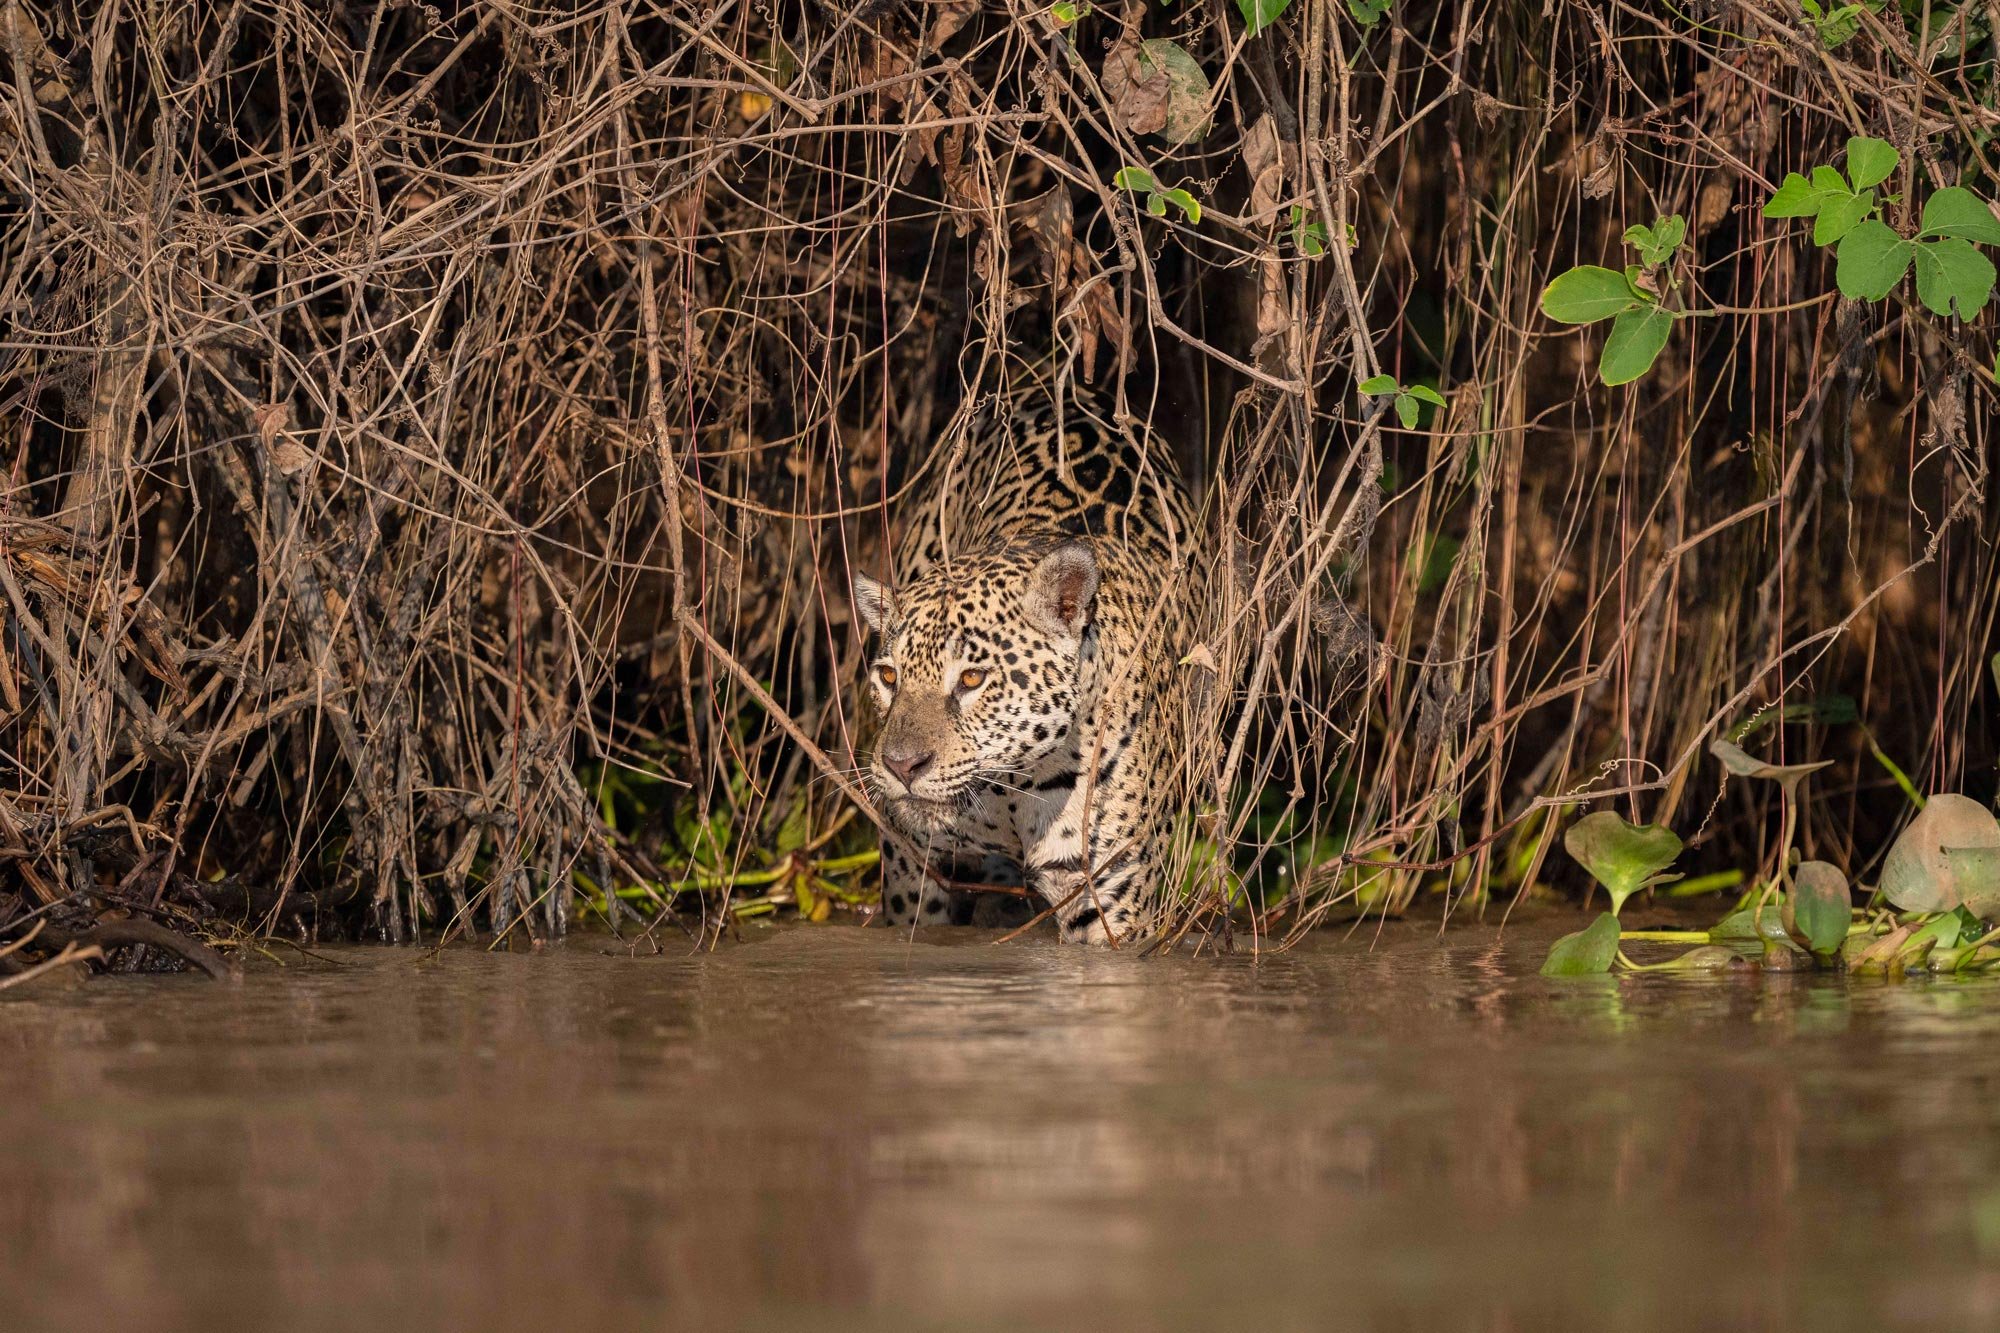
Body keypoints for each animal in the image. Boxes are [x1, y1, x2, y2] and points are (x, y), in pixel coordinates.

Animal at [850, 378, 1198, 946]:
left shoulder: (1111, 900)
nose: (901, 766)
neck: (1012, 789)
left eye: (972, 678)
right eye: (888, 677)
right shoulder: (911, 866)